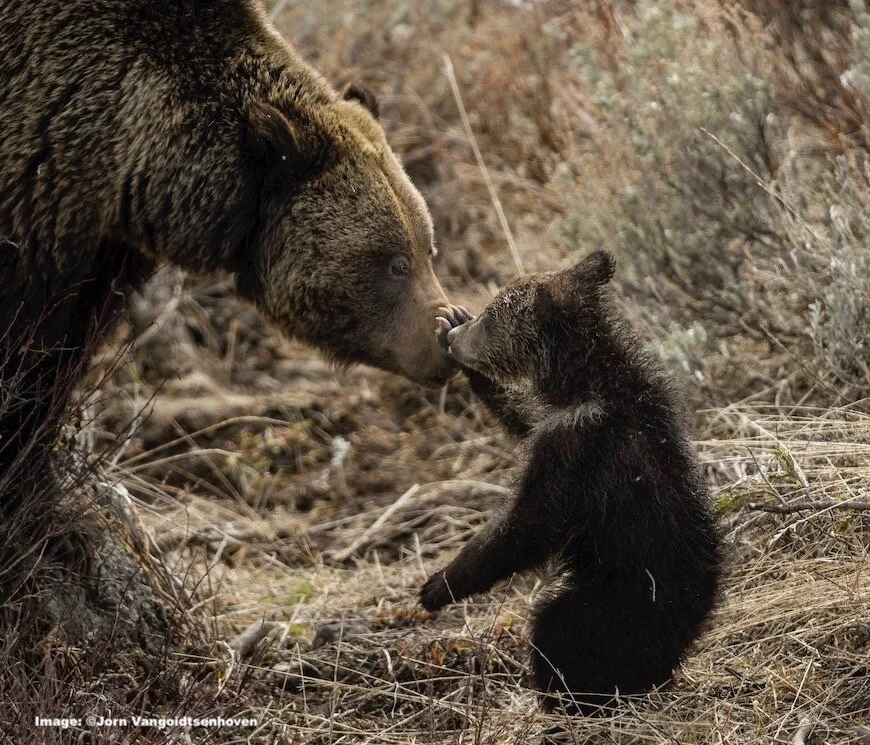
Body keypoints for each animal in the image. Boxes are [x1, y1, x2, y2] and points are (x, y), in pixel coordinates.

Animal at [0, 0, 455, 506]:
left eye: (428, 248)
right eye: (396, 263)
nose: (447, 329)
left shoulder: (104, 244)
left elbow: (66, 347)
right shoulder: (37, 194)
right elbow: (24, 344)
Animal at [420, 251, 721, 715]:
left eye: (492, 314)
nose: (453, 335)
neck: (582, 383)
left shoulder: (579, 450)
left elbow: (528, 525)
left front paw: (438, 585)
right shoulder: (557, 424)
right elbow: (524, 421)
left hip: (620, 600)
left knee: (558, 634)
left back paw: (570, 702)